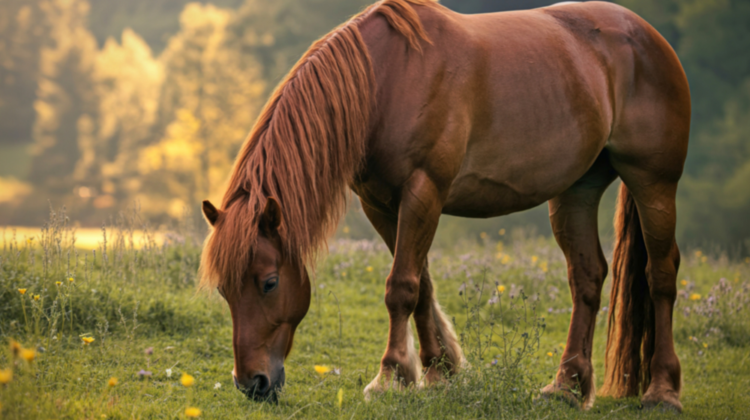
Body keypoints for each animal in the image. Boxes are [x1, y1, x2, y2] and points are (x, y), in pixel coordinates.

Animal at [199, 0, 690, 411]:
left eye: (269, 283)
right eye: (224, 290)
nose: (252, 383)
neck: (387, 80)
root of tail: (647, 35)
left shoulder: (424, 191)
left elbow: (401, 286)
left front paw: (390, 376)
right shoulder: (382, 204)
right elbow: (422, 286)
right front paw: (437, 372)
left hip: (654, 183)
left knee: (661, 275)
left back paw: (662, 391)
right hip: (577, 190)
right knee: (586, 277)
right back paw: (565, 386)